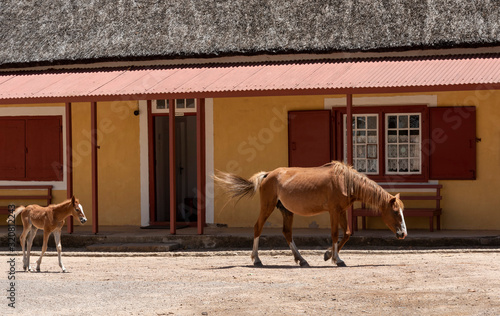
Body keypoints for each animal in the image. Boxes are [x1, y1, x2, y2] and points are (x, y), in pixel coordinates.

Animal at [215, 160, 406, 266]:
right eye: (395, 212)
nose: (403, 233)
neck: (345, 180)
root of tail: (267, 175)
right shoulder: (334, 211)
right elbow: (335, 233)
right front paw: (336, 259)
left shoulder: (342, 211)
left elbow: (347, 233)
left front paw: (329, 255)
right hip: (267, 207)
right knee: (257, 228)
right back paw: (256, 259)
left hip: (287, 211)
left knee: (287, 233)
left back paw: (301, 260)